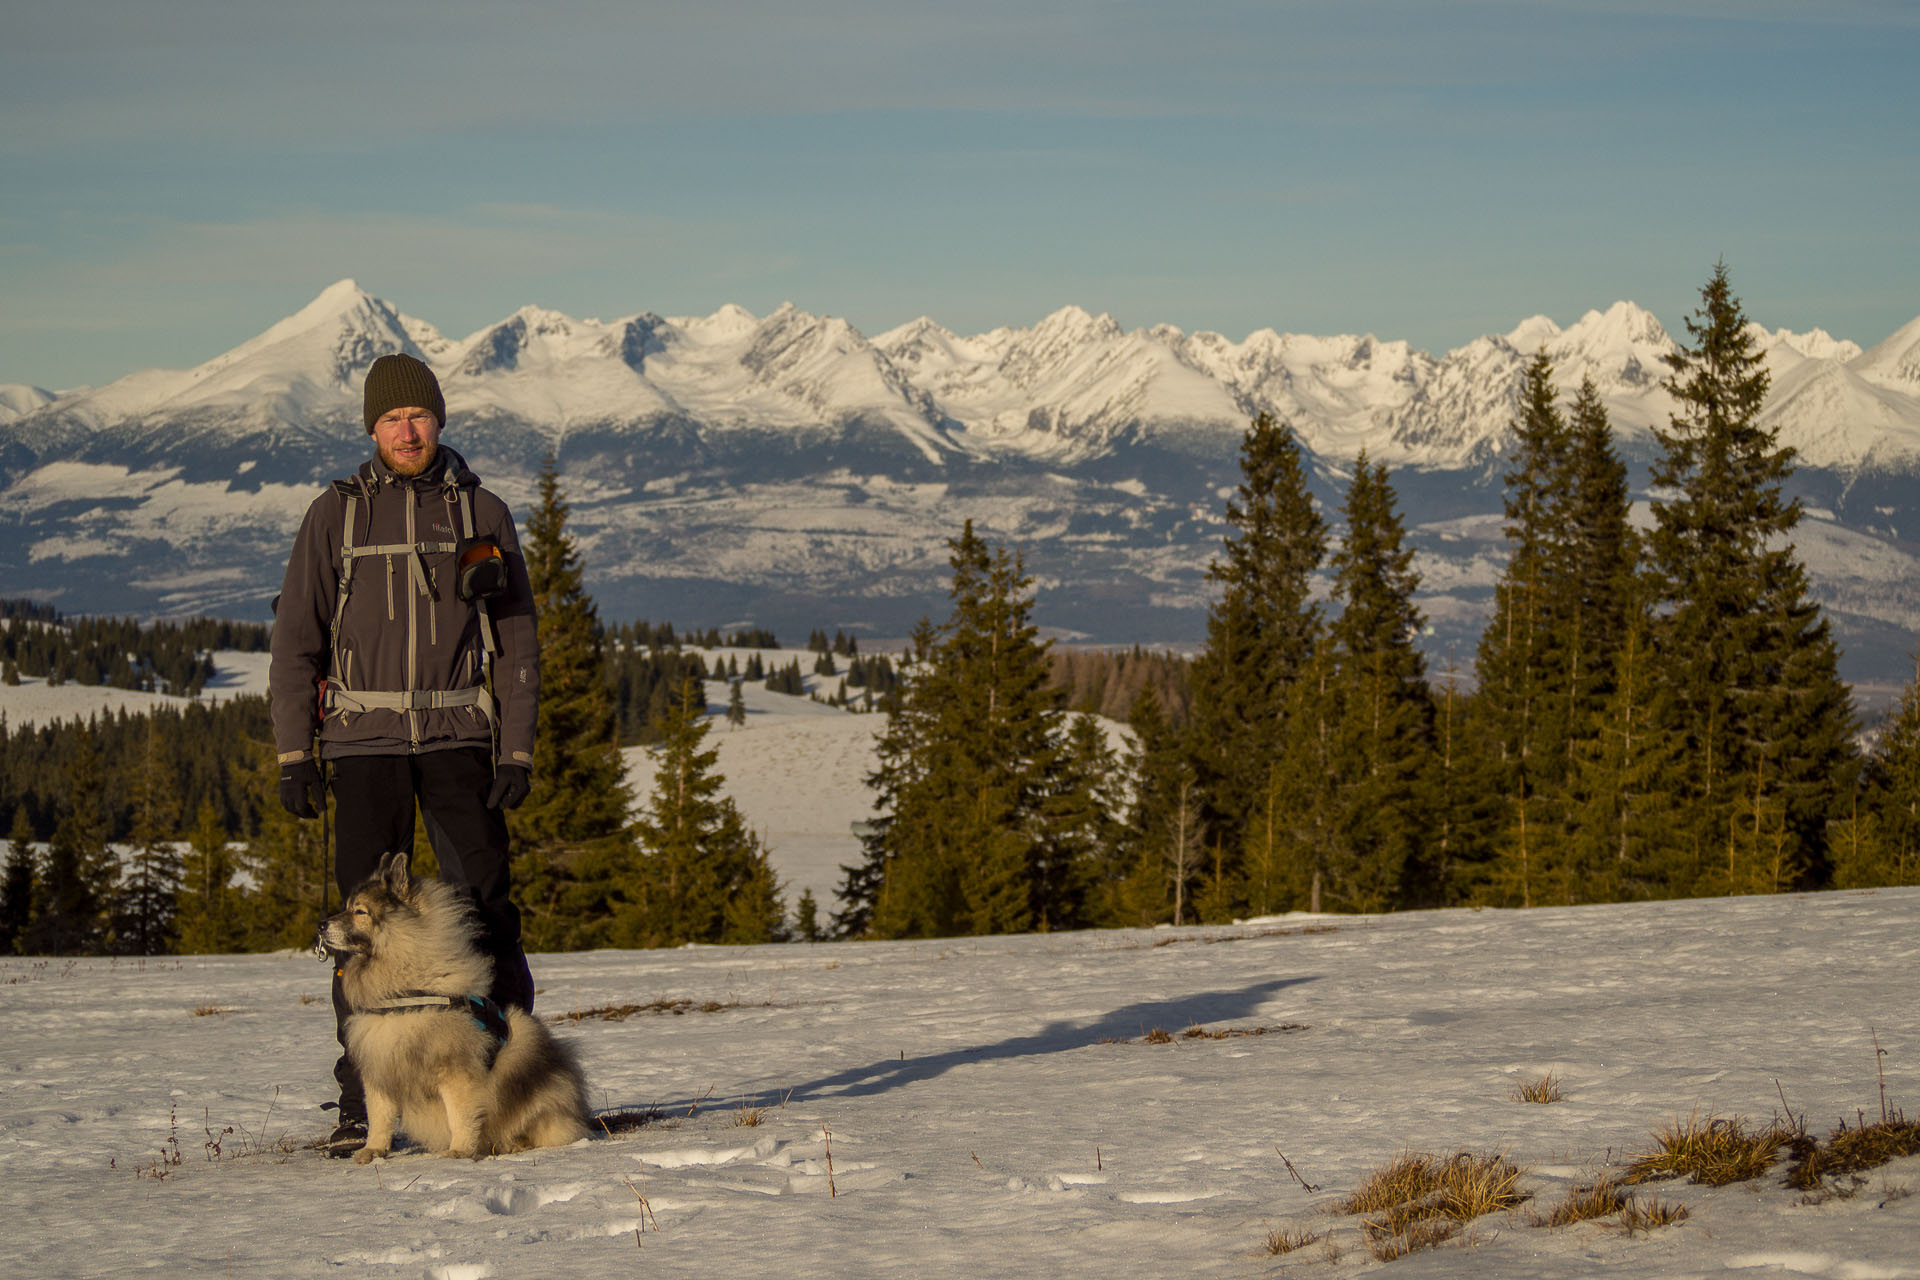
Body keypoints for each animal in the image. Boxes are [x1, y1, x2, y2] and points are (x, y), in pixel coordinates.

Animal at [318, 852, 587, 1159]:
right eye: (346, 907)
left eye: (359, 911)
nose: (321, 925)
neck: (405, 992)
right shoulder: (380, 1065)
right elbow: (379, 1117)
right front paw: (373, 1149)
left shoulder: (455, 1071)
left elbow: (460, 1114)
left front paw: (459, 1151)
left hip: (529, 1068)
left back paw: (514, 1143)